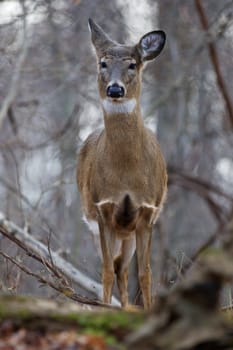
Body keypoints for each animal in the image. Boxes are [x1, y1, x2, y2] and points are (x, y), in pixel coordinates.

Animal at [77, 19, 167, 308]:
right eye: (103, 63)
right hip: (98, 224)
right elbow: (106, 271)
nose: (115, 89)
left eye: (132, 64)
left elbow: (146, 273)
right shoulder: (103, 208)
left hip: (128, 232)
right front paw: (105, 308)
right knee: (115, 267)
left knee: (124, 269)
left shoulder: (148, 210)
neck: (127, 175)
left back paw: (127, 307)